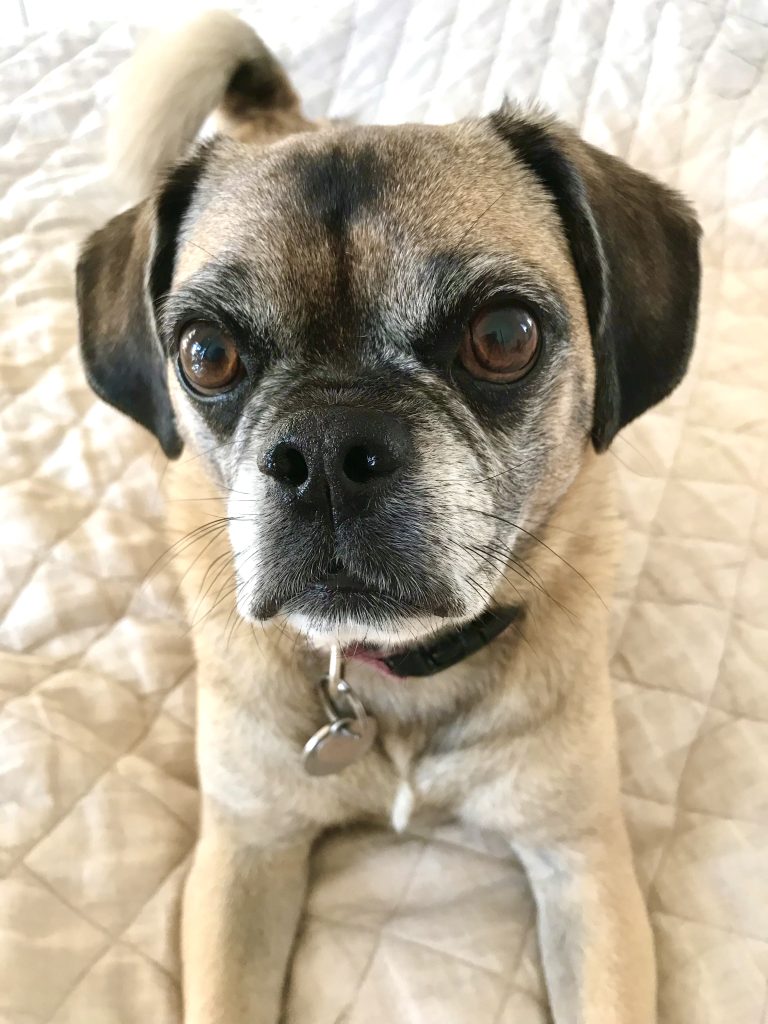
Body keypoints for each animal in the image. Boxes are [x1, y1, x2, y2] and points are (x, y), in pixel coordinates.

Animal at [75, 12, 701, 1023]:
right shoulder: (244, 858)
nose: (328, 449)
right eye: (206, 355)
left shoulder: (583, 862)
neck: (395, 674)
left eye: (503, 337)